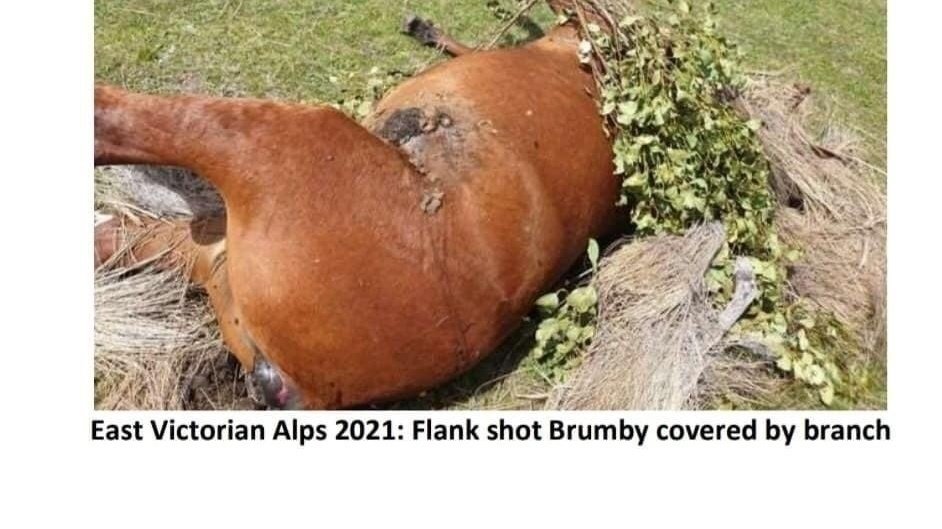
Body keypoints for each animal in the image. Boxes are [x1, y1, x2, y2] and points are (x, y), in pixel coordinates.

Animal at [94, 0, 620, 409]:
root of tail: (301, 390)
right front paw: (426, 29)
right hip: (208, 251)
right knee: (117, 236)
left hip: (257, 140)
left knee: (113, 121)